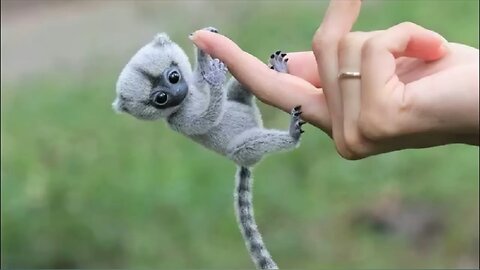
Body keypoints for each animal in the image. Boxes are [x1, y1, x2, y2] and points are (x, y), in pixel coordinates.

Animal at [113, 26, 304, 268]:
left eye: (174, 77)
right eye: (161, 98)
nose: (178, 93)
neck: (185, 100)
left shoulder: (192, 87)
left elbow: (199, 79)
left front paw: (203, 49)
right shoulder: (180, 120)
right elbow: (207, 120)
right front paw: (214, 79)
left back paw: (279, 71)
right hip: (242, 152)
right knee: (243, 146)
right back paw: (291, 136)